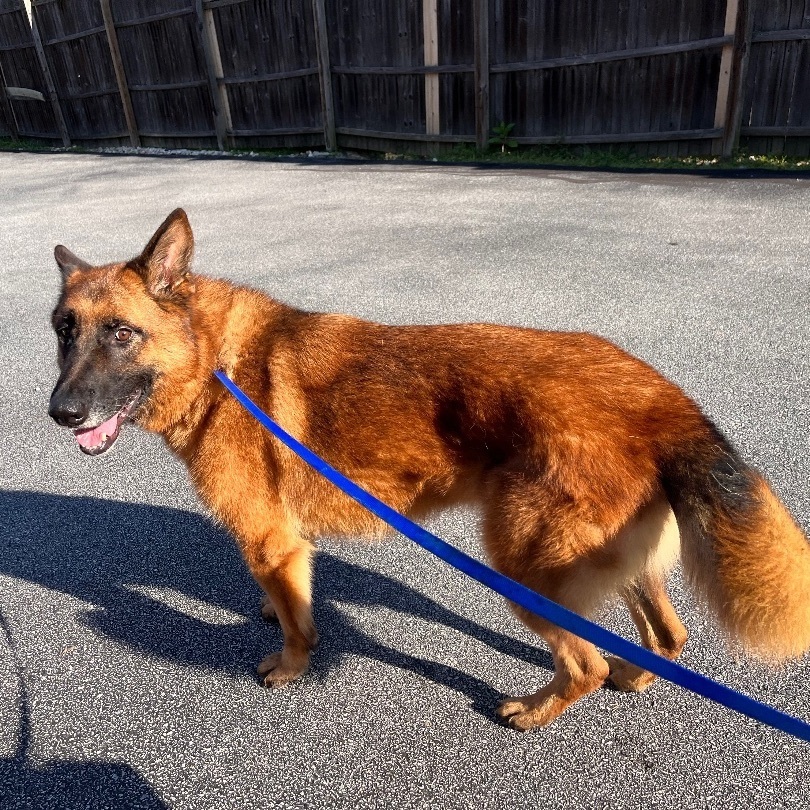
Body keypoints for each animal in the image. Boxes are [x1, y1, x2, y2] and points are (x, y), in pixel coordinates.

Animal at [49, 211, 808, 728]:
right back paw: (634, 676)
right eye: (63, 330)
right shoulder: (285, 546)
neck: (215, 361)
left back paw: (535, 712)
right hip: (613, 565)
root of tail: (661, 398)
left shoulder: (270, 540)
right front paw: (270, 609)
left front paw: (291, 666)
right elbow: (286, 598)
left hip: (523, 571)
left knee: (584, 664)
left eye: (122, 334)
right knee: (666, 639)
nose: (60, 412)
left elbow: (300, 627)